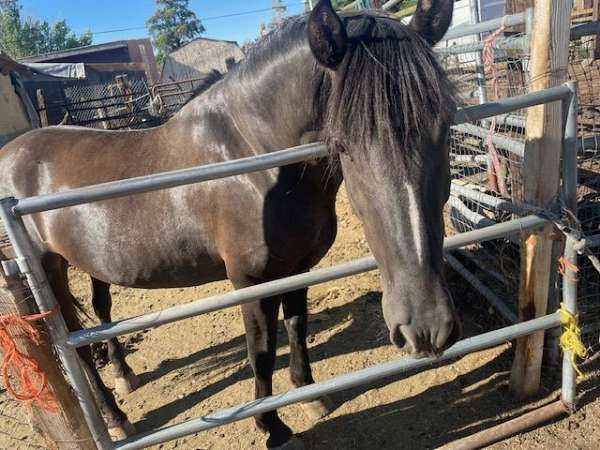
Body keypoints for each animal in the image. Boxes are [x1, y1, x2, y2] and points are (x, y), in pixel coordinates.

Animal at [0, 1, 458, 448]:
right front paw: (273, 427)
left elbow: (297, 327)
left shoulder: (297, 268)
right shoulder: (250, 280)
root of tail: (12, 153)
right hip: (48, 270)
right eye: (343, 143)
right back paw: (115, 420)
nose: (425, 328)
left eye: (445, 122)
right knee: (74, 345)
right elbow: (261, 350)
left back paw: (124, 375)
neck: (256, 159)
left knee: (101, 314)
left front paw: (311, 395)